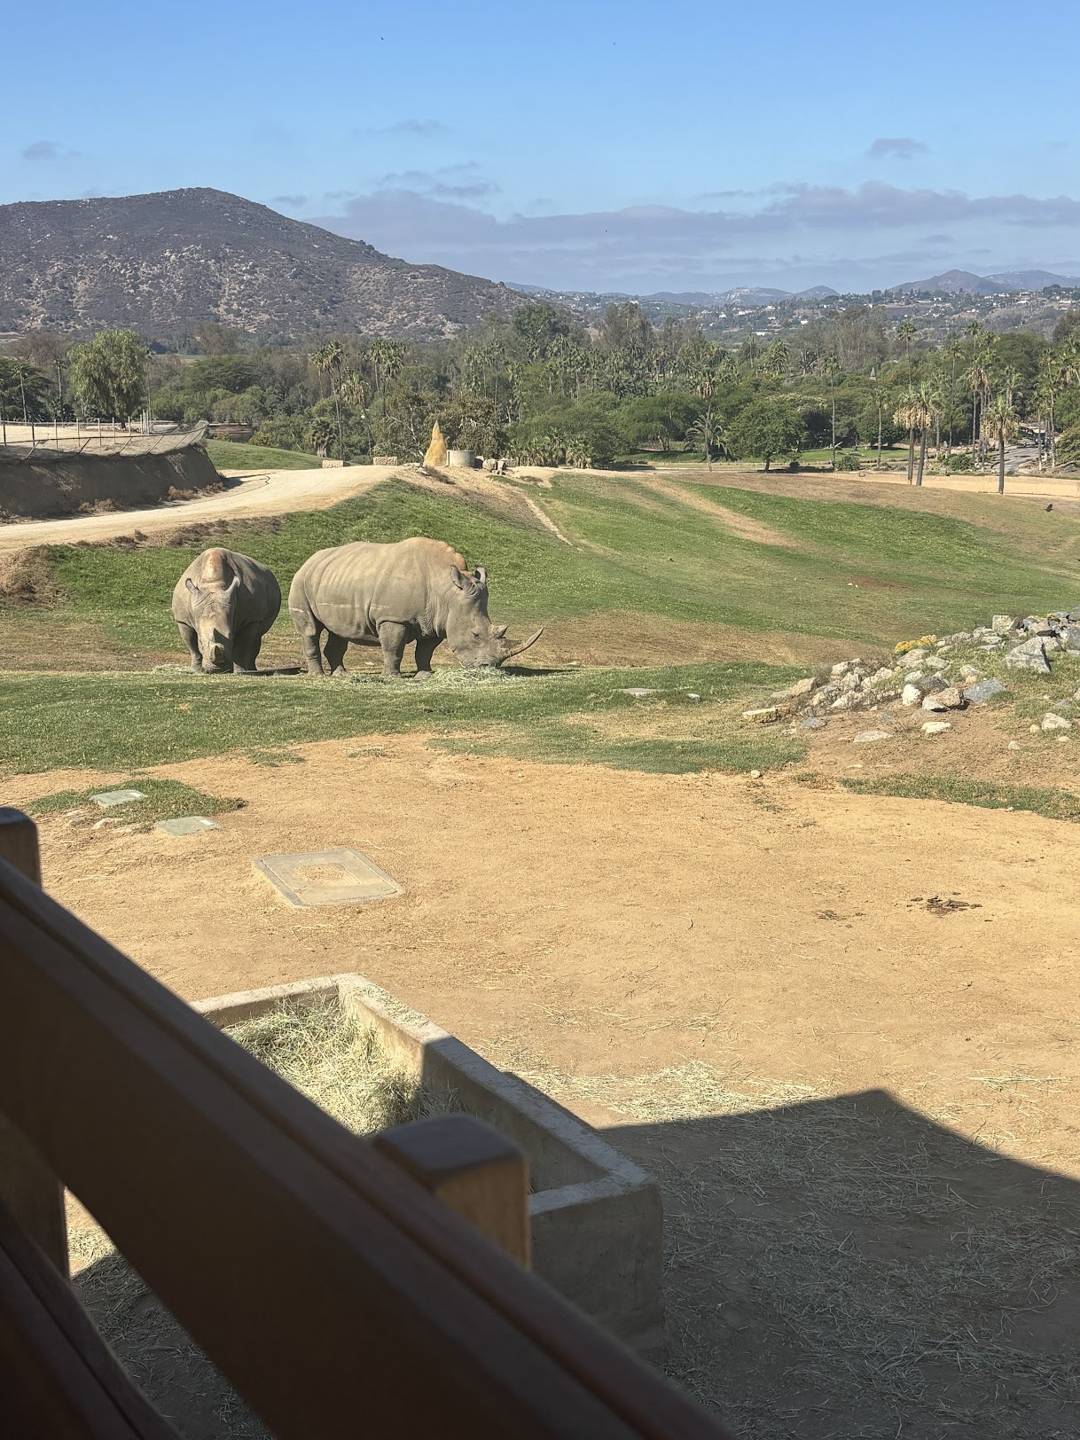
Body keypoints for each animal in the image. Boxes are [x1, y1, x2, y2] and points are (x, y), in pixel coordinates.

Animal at [287, 536, 543, 678]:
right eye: (475, 634)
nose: (487, 667)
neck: (446, 589)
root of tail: (308, 560)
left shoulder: (437, 621)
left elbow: (425, 651)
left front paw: (425, 676)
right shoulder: (393, 618)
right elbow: (394, 648)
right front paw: (392, 677)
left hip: (334, 579)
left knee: (339, 631)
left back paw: (340, 675)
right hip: (300, 582)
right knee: (310, 629)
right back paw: (319, 676)